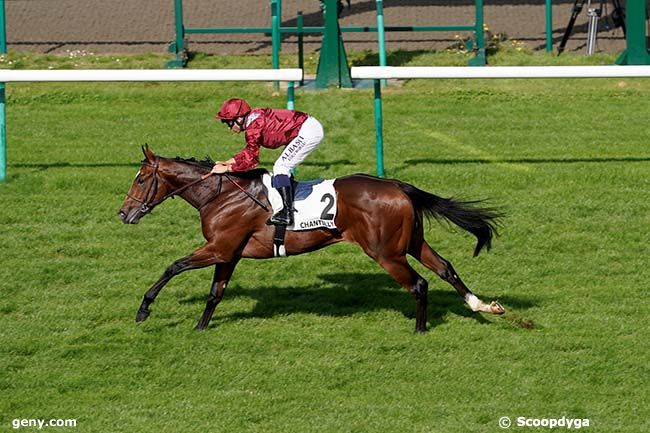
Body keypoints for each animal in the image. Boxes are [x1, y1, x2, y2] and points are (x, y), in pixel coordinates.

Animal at [116, 147, 504, 332]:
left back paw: (421, 329)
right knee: (446, 268)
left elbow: (173, 266)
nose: (123, 213)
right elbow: (215, 293)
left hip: (386, 253)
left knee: (420, 283)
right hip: (410, 243)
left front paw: (143, 309)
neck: (220, 194)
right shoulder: (228, 253)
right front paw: (200, 326)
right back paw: (483, 306)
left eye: (140, 179)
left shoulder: (219, 247)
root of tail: (398, 186)